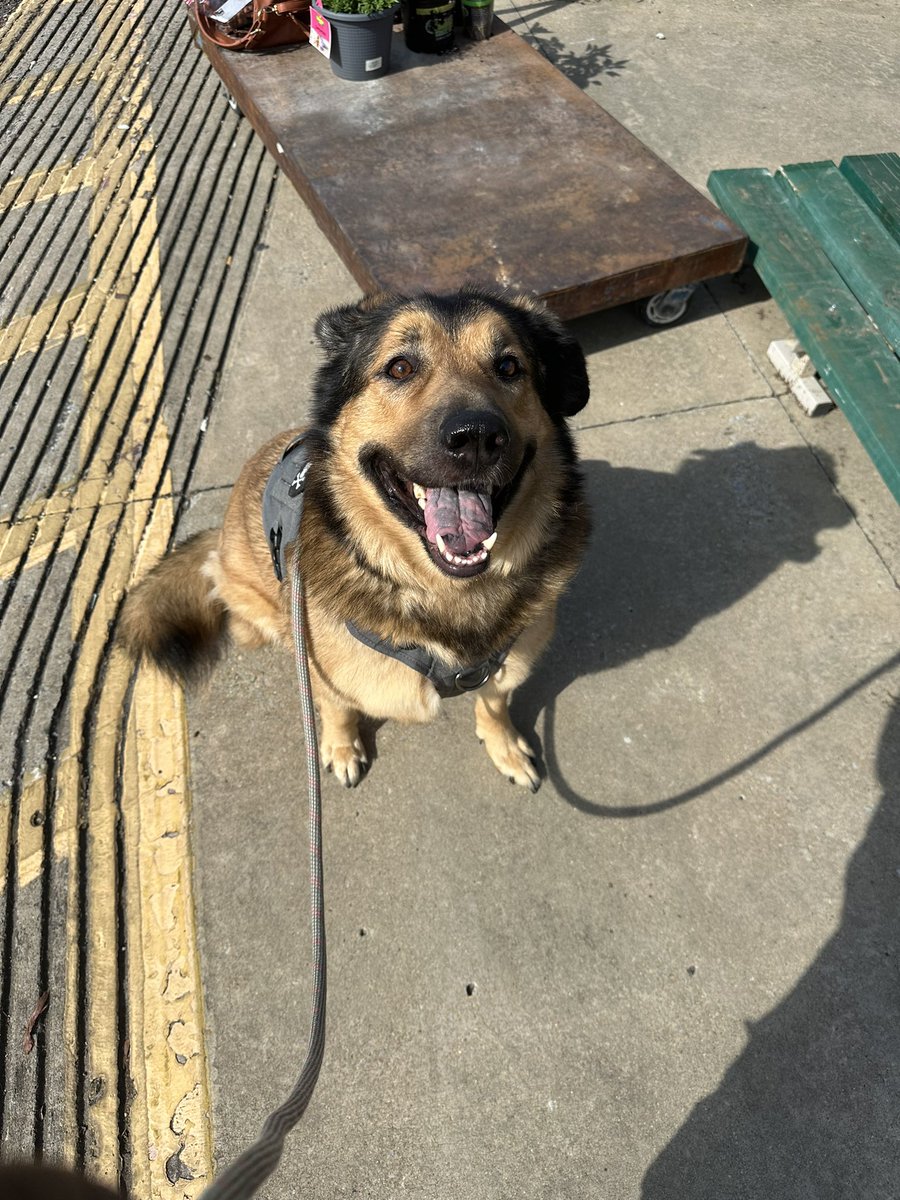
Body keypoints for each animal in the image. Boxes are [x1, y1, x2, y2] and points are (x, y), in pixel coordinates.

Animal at [120, 286, 595, 792]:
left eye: (508, 366)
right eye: (400, 368)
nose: (477, 437)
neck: (445, 592)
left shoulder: (505, 667)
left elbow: (494, 702)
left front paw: (503, 744)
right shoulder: (323, 670)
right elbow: (336, 707)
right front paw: (342, 746)